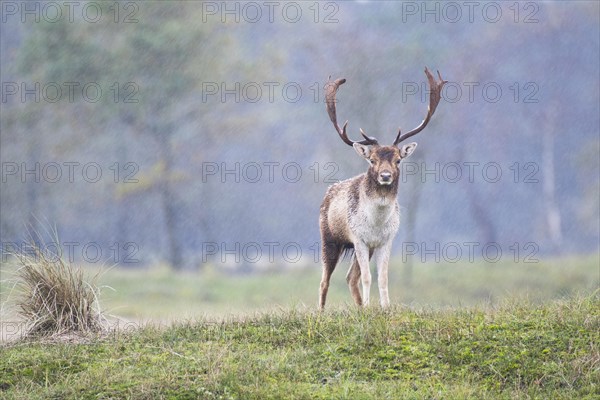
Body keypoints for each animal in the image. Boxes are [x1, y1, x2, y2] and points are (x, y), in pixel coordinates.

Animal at [318, 67, 446, 308]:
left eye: (398, 160)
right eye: (372, 160)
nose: (385, 176)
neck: (376, 224)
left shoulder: (386, 240)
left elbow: (383, 276)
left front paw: (385, 307)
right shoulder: (358, 238)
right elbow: (368, 276)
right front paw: (371, 307)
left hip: (364, 248)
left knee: (350, 277)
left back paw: (359, 307)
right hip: (329, 238)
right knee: (325, 281)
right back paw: (322, 312)